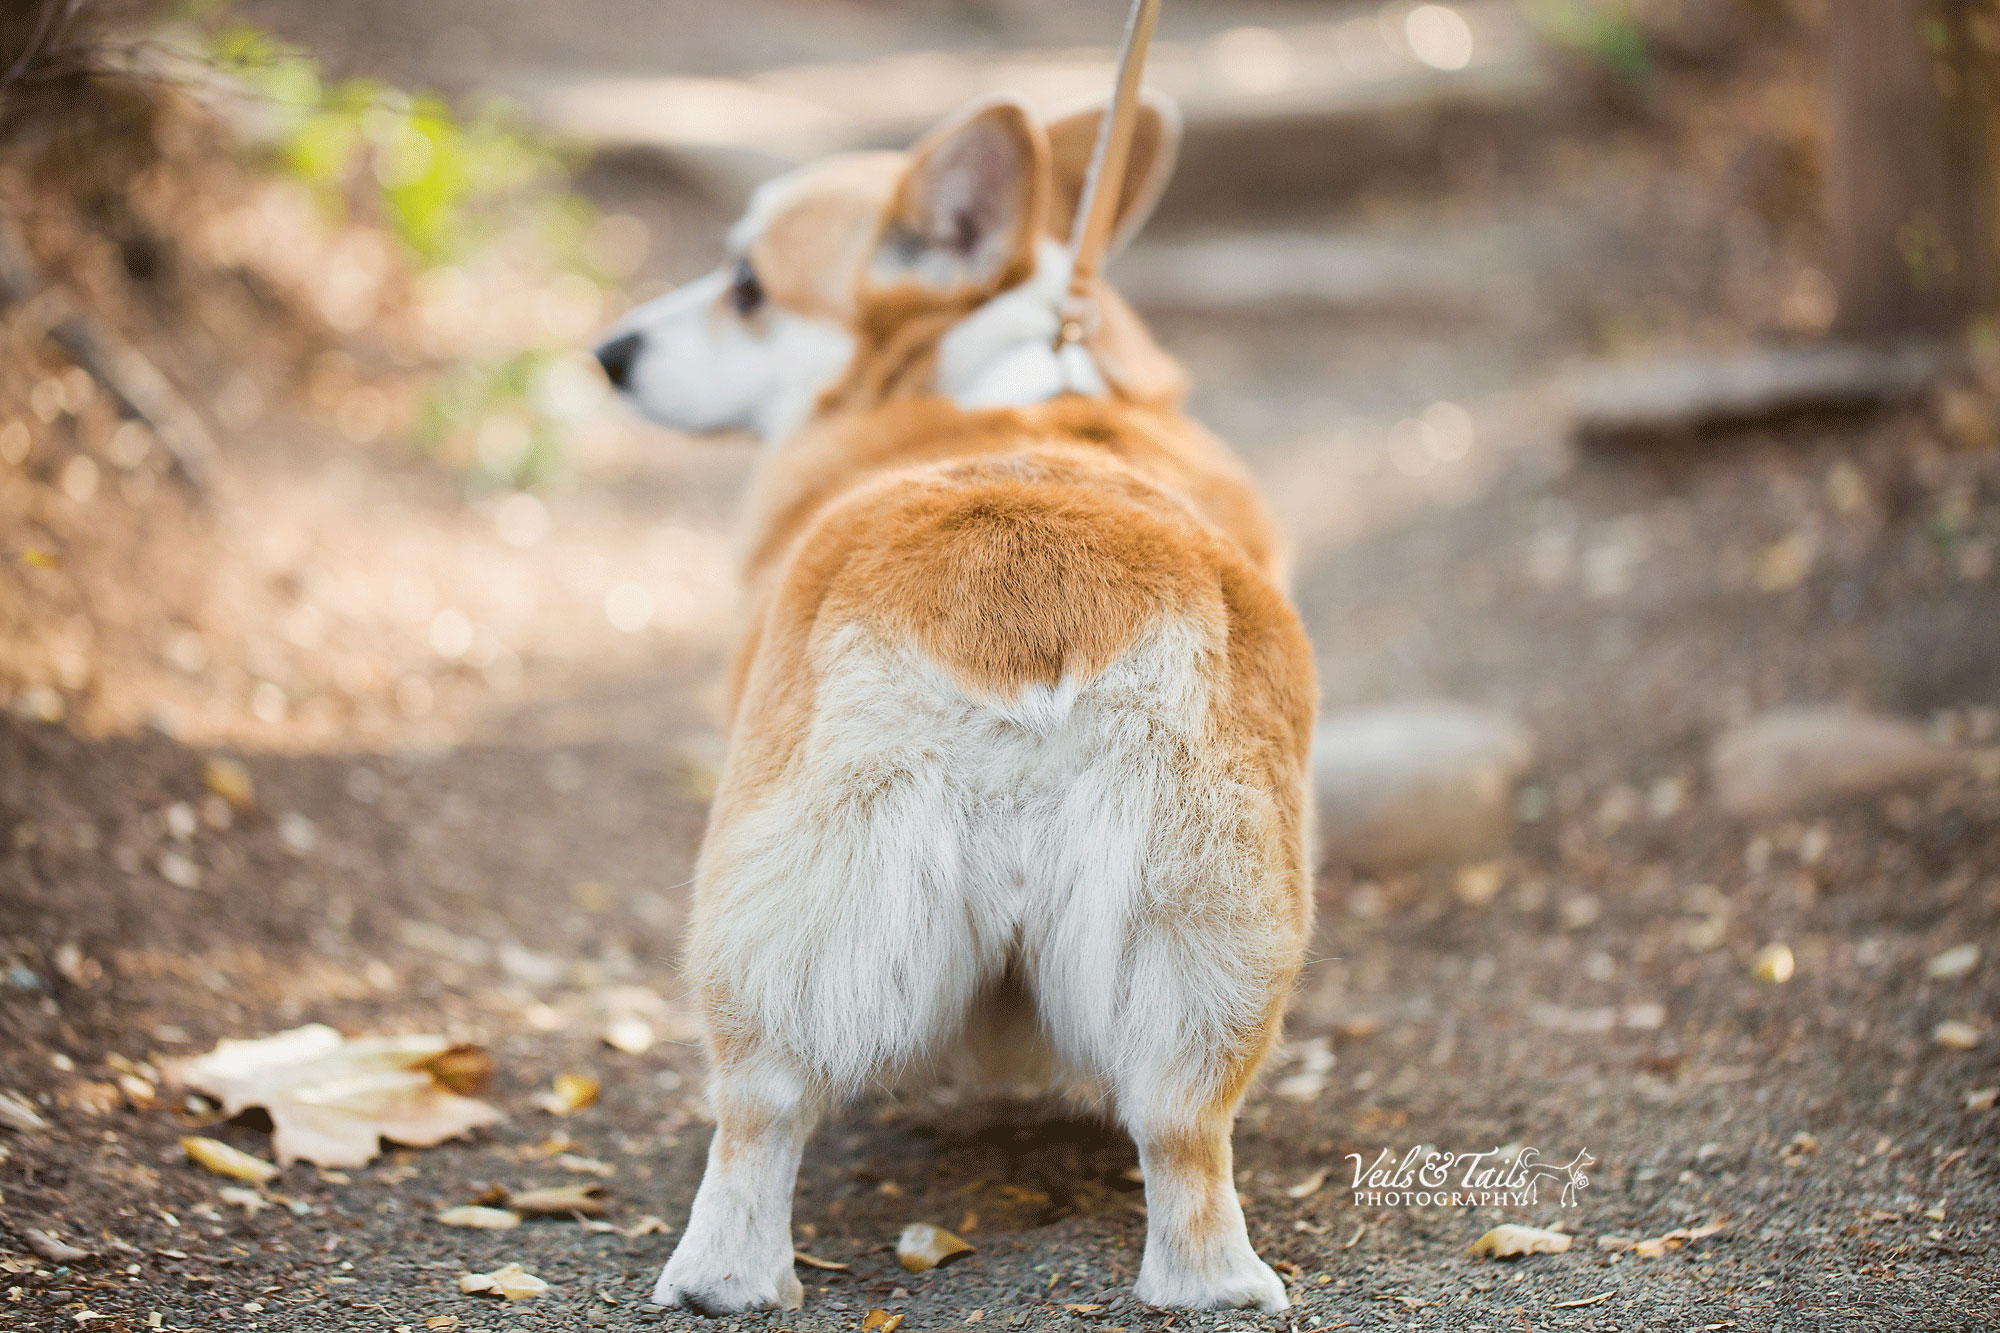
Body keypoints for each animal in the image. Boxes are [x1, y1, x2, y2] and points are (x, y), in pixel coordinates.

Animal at [592, 91, 1312, 1304]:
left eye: (746, 284)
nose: (609, 354)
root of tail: (1023, 609)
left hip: (782, 896)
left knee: (757, 1112)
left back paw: (719, 1282)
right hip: (1199, 912)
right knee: (1182, 1128)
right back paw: (1214, 1286)